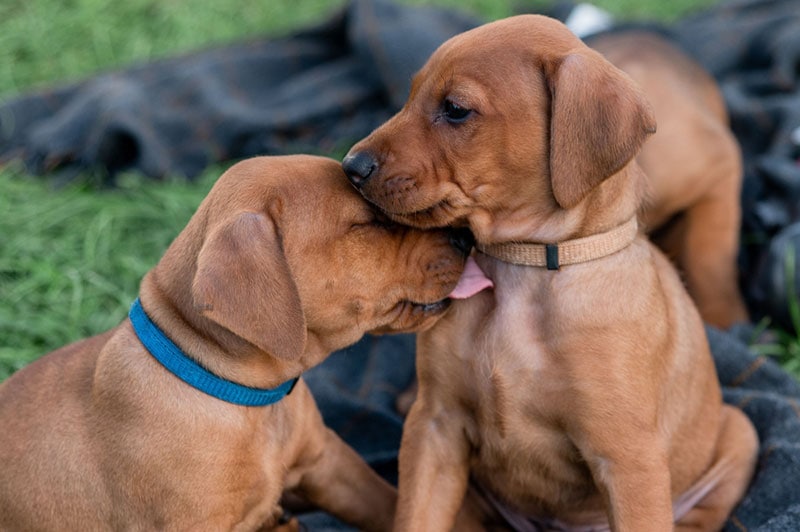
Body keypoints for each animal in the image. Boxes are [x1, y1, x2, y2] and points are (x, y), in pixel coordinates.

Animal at [342, 15, 756, 532]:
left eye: (455, 110)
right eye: (410, 95)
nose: (350, 167)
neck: (526, 266)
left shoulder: (628, 458)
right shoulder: (434, 424)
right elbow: (416, 516)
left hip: (740, 434)